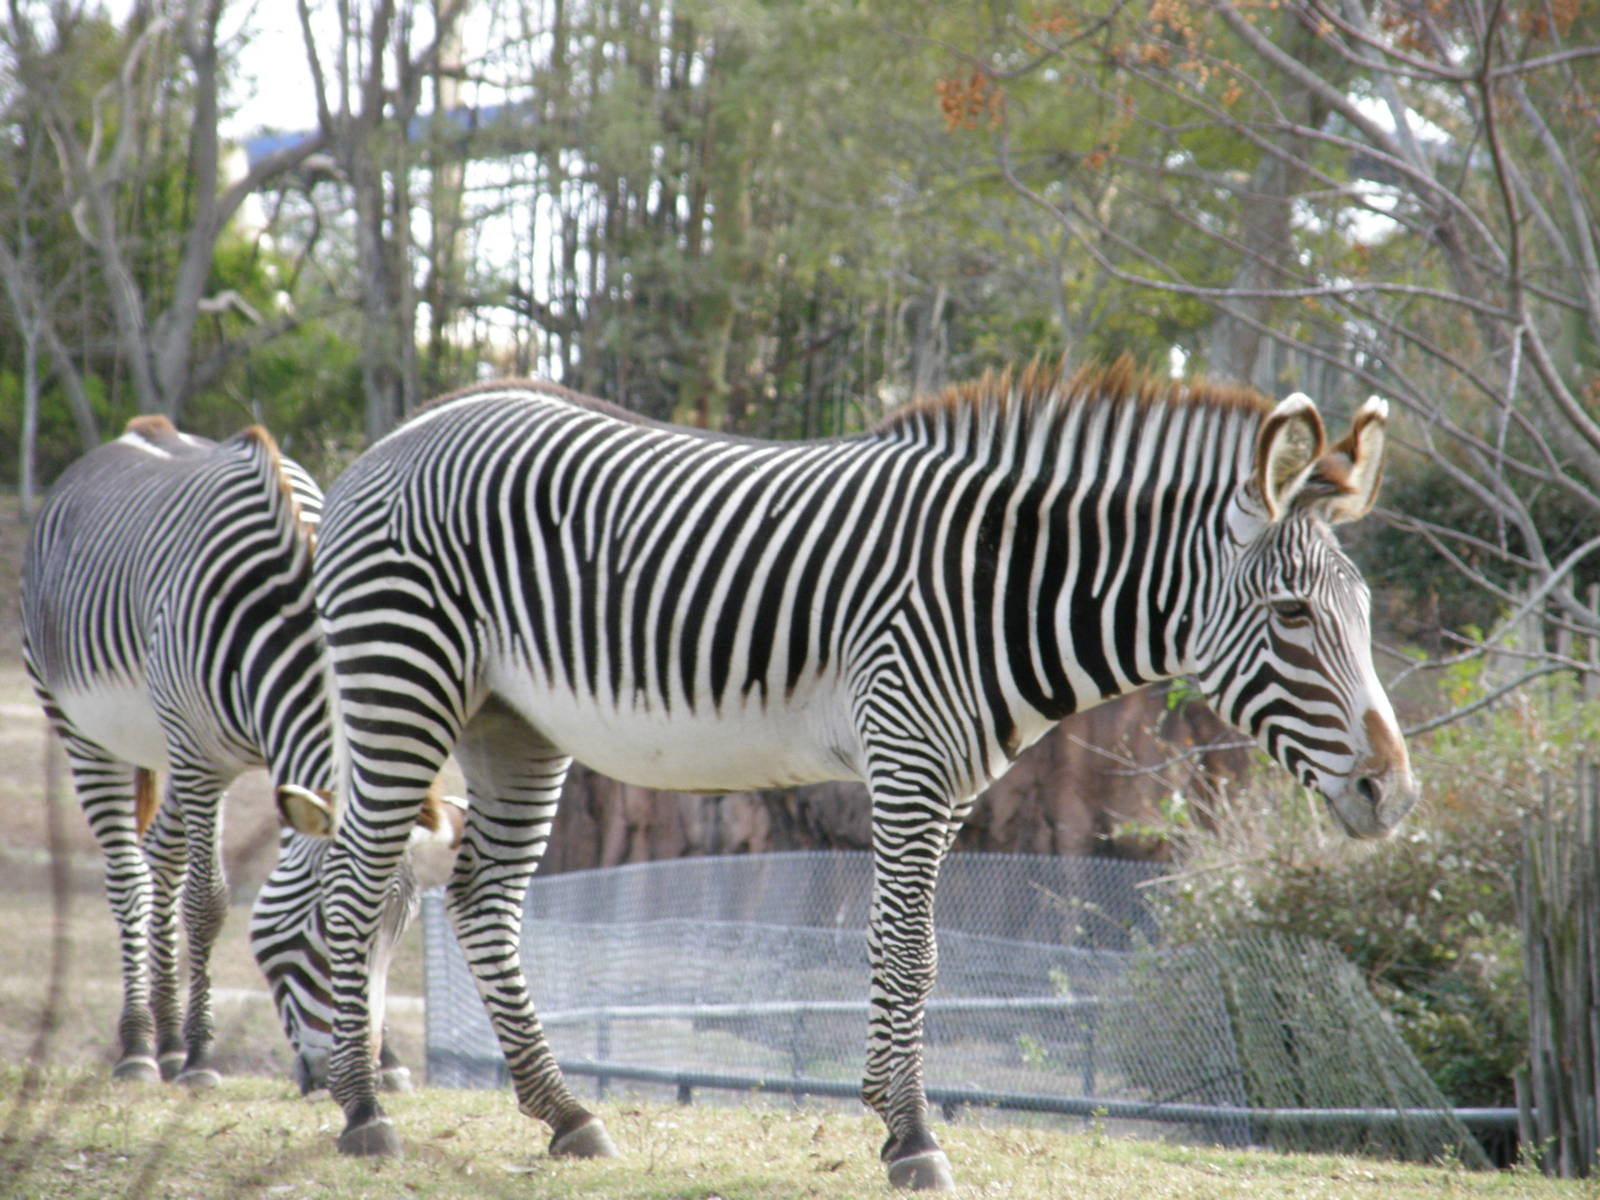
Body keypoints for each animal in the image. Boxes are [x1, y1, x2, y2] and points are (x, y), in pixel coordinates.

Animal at [20, 415, 443, 1090]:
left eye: (401, 931)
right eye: (329, 926)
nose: (360, 1071)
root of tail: (134, 432)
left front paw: (392, 1061)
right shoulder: (200, 761)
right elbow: (208, 901)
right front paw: (199, 1056)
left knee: (160, 861)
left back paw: (165, 1041)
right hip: (82, 728)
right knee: (130, 877)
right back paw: (142, 1048)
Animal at [307, 361, 1415, 1190]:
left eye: (1362, 610)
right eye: (1292, 616)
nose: (1394, 794)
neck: (998, 588)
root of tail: (398, 436)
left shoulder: (952, 779)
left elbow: (906, 952)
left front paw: (889, 1112)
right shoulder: (909, 757)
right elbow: (909, 950)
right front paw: (913, 1136)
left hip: (514, 721)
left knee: (479, 896)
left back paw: (565, 1114)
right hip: (403, 677)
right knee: (355, 883)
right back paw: (361, 1108)